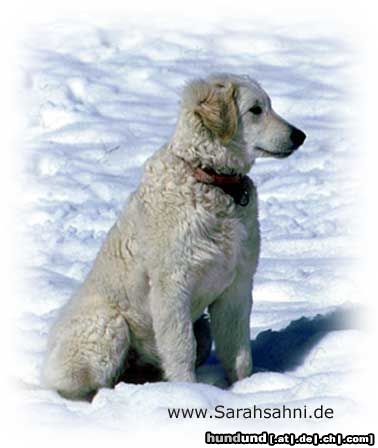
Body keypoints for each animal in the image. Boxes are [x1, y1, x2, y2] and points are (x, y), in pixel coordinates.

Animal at [42, 73, 306, 400]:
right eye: (255, 110)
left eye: (268, 105)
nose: (300, 136)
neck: (211, 181)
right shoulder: (172, 286)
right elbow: (181, 349)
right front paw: (187, 393)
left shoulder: (237, 284)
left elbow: (238, 352)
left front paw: (246, 389)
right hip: (108, 325)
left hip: (200, 327)